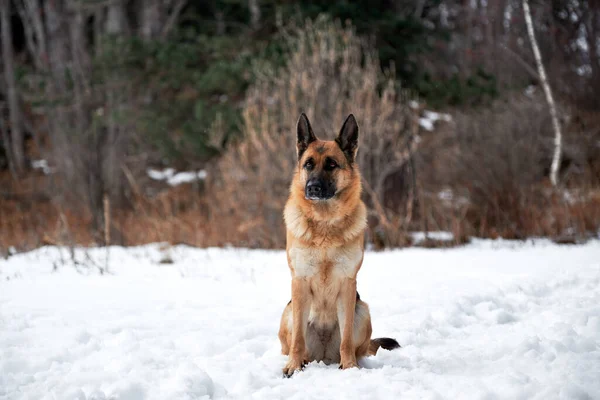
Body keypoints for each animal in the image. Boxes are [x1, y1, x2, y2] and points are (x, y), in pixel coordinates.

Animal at [278, 114, 400, 376]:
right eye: (308, 164)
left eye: (332, 164)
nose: (312, 187)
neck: (325, 223)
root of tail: (324, 356)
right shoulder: (299, 282)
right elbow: (298, 340)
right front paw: (293, 366)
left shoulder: (347, 283)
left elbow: (346, 339)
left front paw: (350, 367)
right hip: (290, 311)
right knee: (296, 342)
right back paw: (302, 360)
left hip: (362, 310)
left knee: (354, 343)